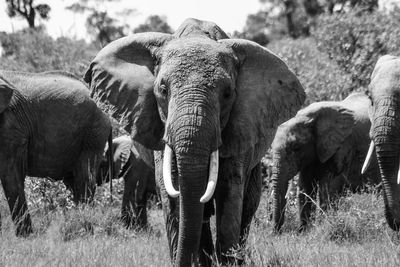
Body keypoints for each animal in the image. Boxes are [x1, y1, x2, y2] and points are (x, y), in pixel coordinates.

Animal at [0, 70, 112, 237]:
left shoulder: (12, 127)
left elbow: (11, 175)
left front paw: (25, 237)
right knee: (73, 182)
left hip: (93, 134)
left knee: (83, 179)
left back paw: (84, 231)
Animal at [83, 17, 304, 266]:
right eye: (163, 89)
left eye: (228, 94)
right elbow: (173, 192)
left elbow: (230, 191)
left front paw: (226, 262)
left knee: (247, 204)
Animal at [270, 92, 380, 232]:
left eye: (296, 147)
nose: (276, 233)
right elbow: (305, 187)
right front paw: (303, 232)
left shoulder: (343, 145)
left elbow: (328, 188)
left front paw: (323, 227)